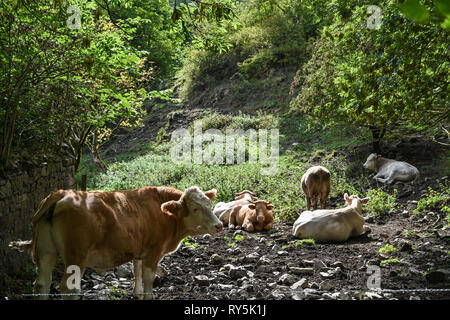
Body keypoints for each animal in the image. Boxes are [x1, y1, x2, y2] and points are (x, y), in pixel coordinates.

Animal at [9, 186, 221, 298]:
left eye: (209, 204)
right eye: (195, 209)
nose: (219, 225)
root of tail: (61, 194)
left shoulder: (139, 251)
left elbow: (137, 275)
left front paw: (137, 294)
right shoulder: (153, 252)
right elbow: (148, 280)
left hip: (46, 251)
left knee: (42, 284)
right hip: (76, 255)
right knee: (69, 288)